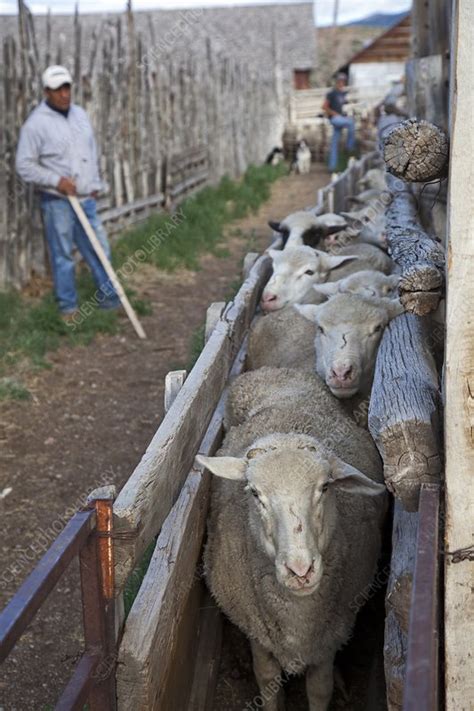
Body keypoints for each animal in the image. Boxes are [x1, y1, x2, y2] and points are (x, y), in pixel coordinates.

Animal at [198, 368, 386, 711]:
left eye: (325, 487)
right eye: (254, 493)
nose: (301, 571)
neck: (298, 620)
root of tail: (278, 371)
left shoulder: (329, 637)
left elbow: (320, 689)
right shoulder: (256, 632)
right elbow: (267, 681)